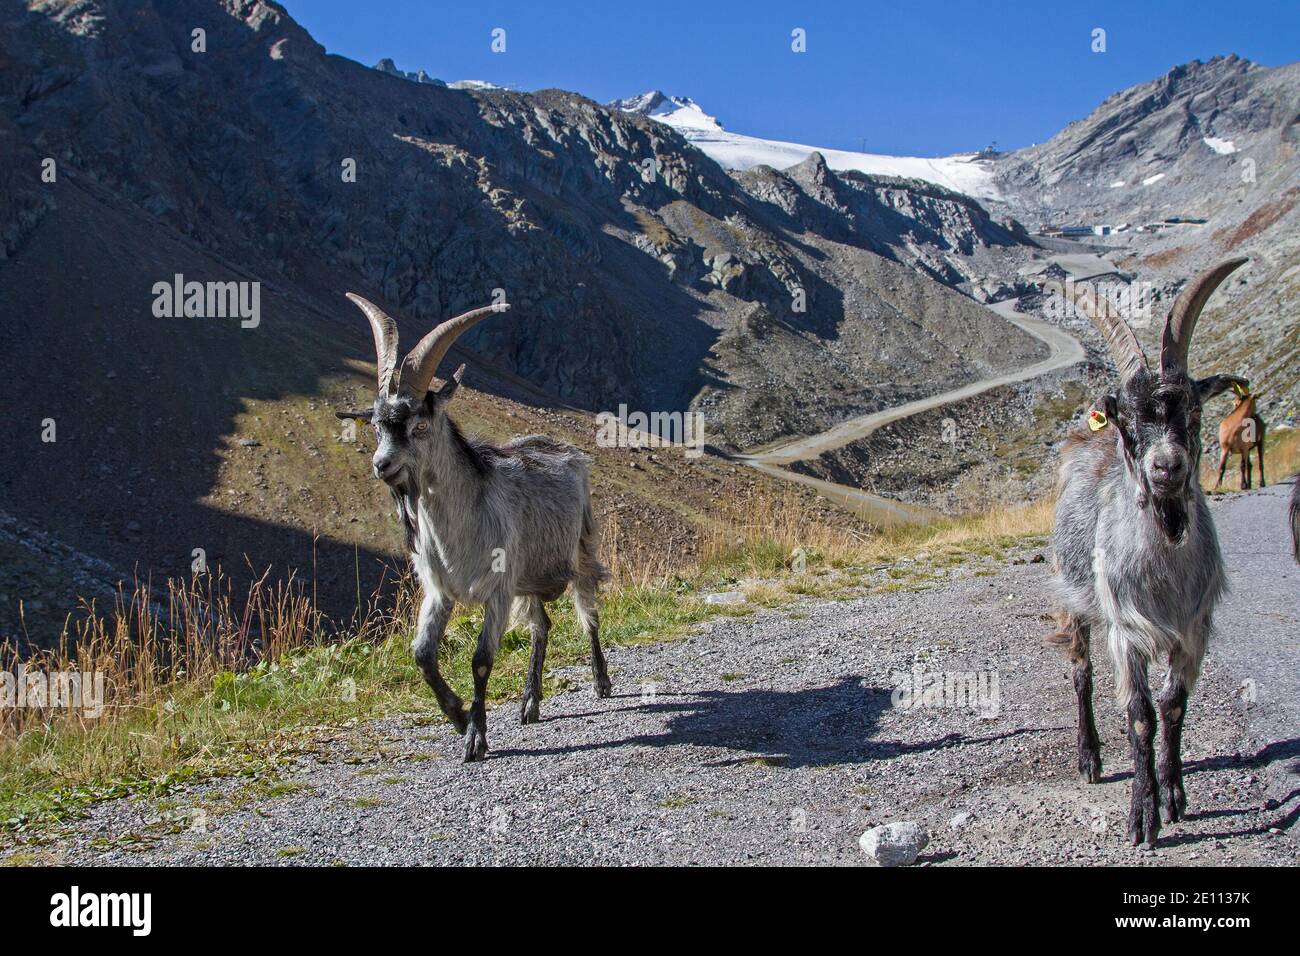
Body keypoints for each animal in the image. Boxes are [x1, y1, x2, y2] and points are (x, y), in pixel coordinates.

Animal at [340, 295, 613, 759]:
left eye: (419, 424)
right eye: (376, 425)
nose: (382, 465)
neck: (459, 531)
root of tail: (567, 450)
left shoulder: (497, 592)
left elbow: (481, 660)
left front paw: (476, 737)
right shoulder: (439, 591)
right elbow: (422, 655)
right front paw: (457, 714)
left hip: (580, 549)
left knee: (587, 615)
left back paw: (601, 681)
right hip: (528, 577)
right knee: (541, 627)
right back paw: (530, 703)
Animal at [1045, 257, 1248, 848]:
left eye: (1195, 414)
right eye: (1129, 422)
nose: (1166, 467)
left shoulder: (1195, 628)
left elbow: (1173, 707)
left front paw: (1174, 795)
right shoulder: (1126, 630)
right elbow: (1140, 715)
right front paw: (1142, 815)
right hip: (1072, 597)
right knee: (1081, 673)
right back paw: (1089, 758)